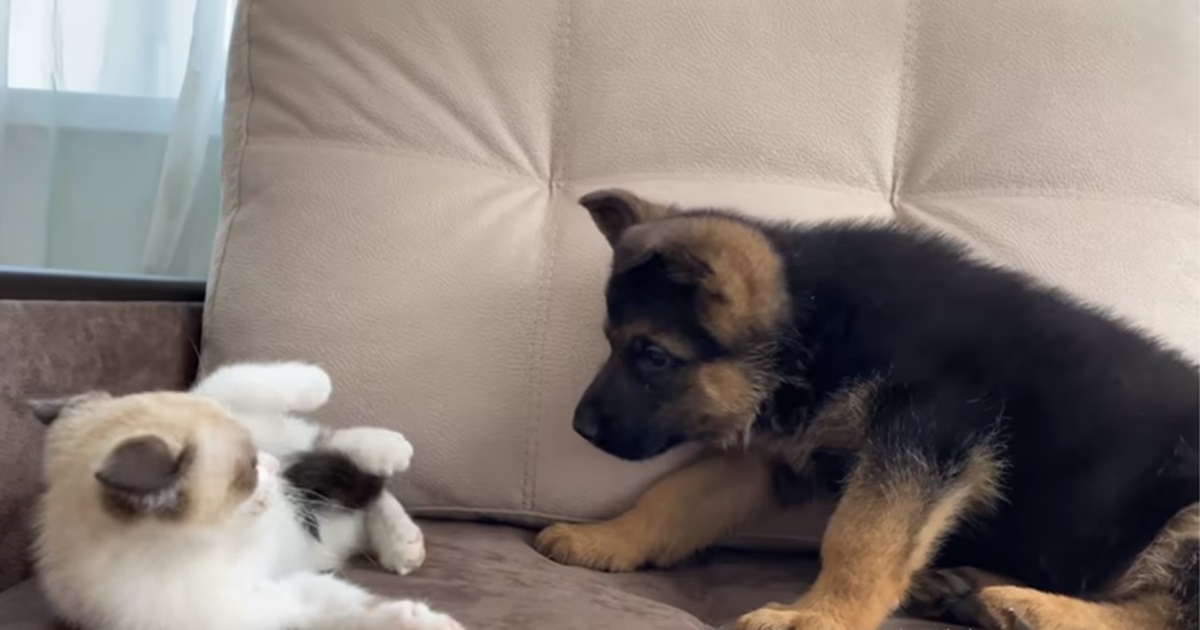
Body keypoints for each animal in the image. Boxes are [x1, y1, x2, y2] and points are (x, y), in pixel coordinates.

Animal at [31, 357, 463, 628]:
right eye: (252, 469)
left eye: (255, 457)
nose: (272, 465)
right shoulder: (240, 609)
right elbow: (326, 602)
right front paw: (418, 620)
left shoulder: (216, 397)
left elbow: (237, 380)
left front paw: (318, 381)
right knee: (353, 490)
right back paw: (395, 534)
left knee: (324, 444)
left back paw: (386, 463)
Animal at [535, 189, 1200, 628]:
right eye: (611, 343)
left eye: (653, 356)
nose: (578, 428)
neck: (815, 325)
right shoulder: (778, 457)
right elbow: (675, 497)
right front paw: (609, 538)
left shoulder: (923, 435)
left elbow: (860, 536)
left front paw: (820, 617)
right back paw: (967, 588)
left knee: (1163, 614)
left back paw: (1026, 607)